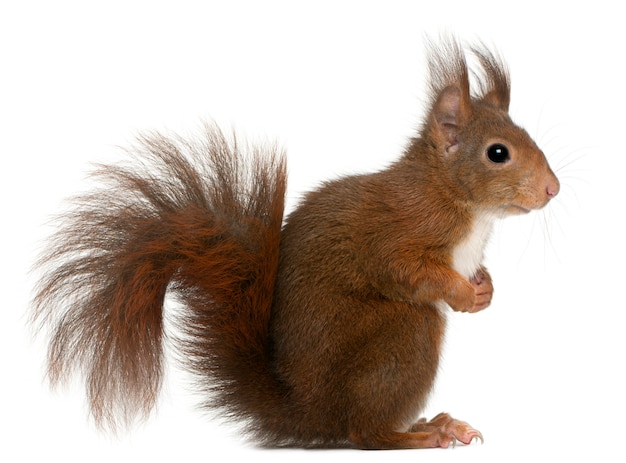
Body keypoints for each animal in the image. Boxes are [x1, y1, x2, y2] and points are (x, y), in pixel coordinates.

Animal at [30, 40, 556, 450]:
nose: (553, 189)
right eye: (497, 153)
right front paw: (464, 293)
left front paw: (485, 290)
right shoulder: (399, 230)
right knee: (364, 432)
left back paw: (438, 423)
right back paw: (420, 434)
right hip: (405, 333)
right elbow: (404, 269)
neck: (458, 200)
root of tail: (306, 412)